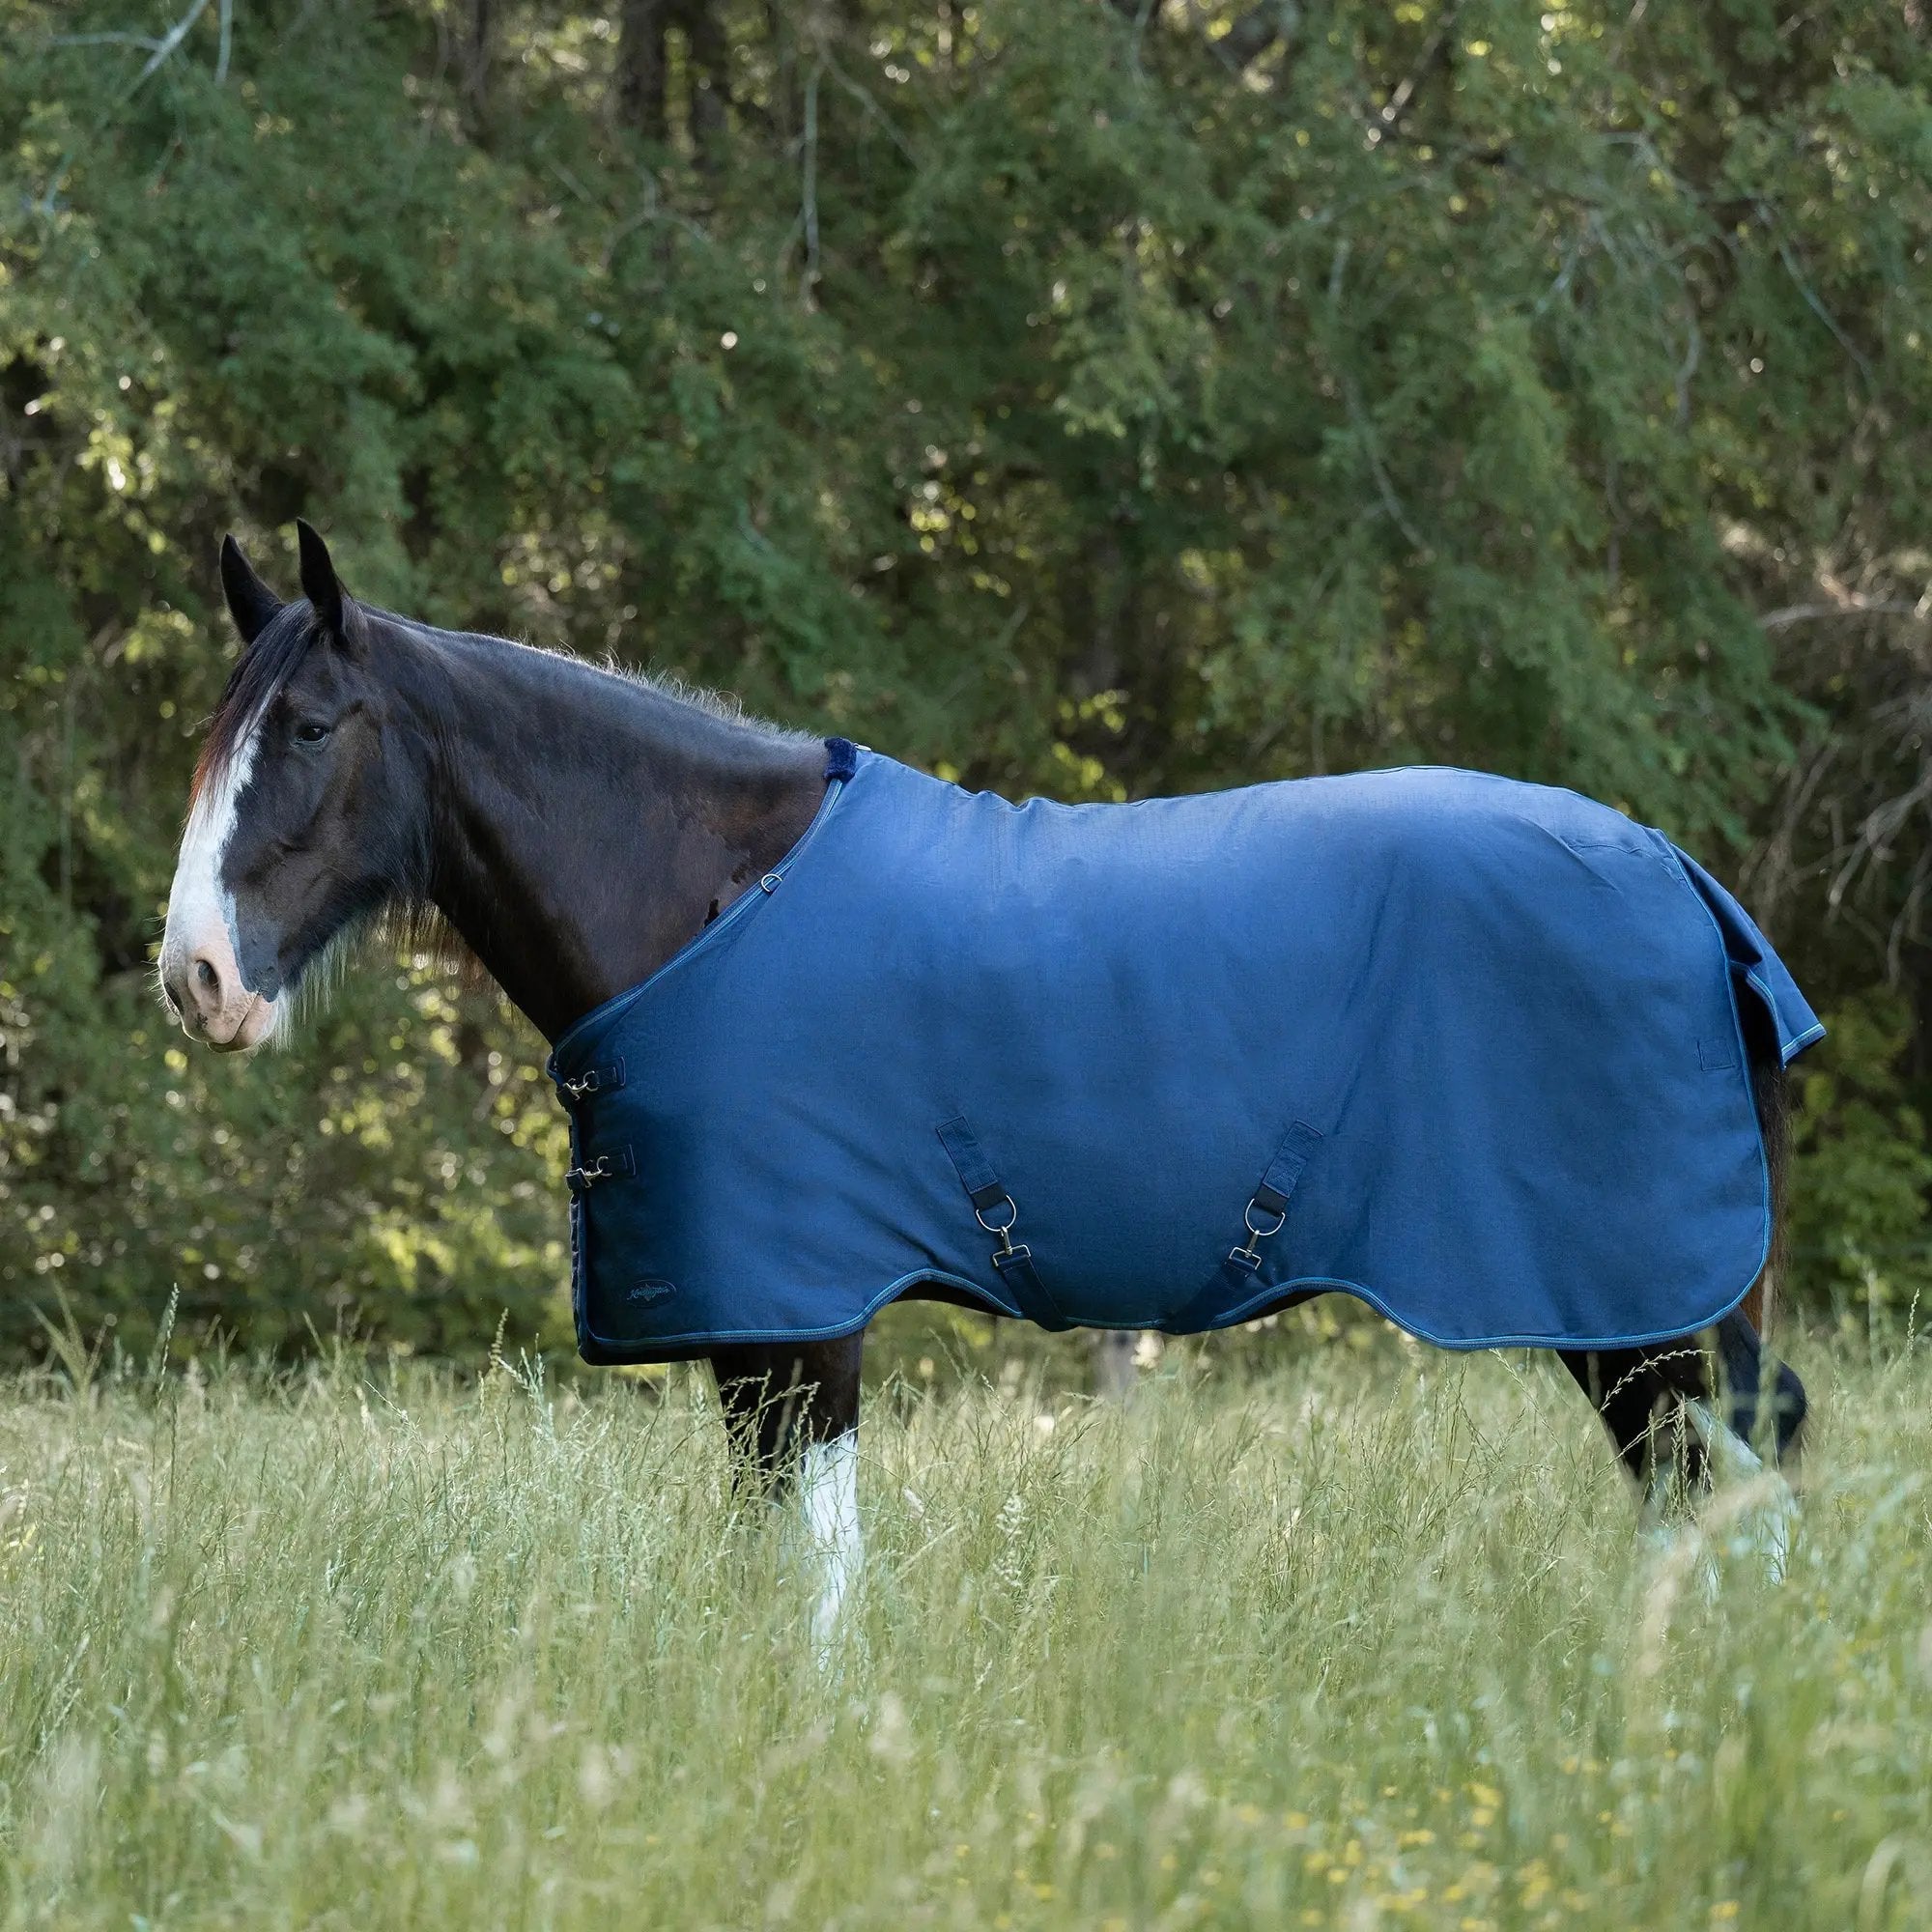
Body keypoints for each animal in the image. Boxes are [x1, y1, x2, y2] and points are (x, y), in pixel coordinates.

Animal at [158, 523, 1811, 1640]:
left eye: (311, 728)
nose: (197, 979)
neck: (710, 897)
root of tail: (1678, 876)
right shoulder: (750, 1324)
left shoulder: (803, 1311)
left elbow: (819, 1575)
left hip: (1632, 1302)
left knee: (1721, 1477)